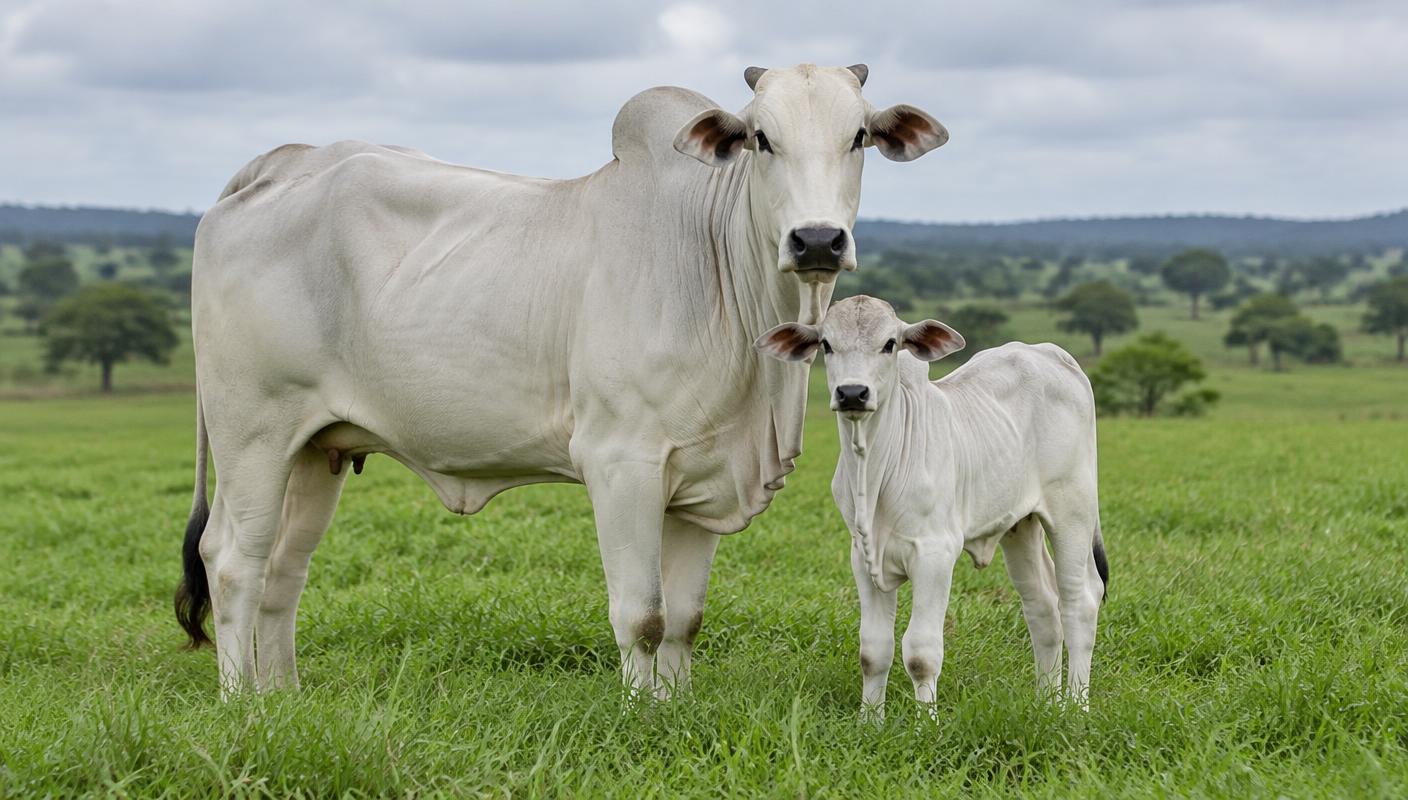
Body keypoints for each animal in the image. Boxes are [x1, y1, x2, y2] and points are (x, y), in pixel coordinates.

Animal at [174, 65, 949, 698]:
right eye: (762, 138)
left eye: (858, 136)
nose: (817, 240)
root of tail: (281, 165)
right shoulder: (620, 461)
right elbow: (642, 615)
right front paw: (641, 715)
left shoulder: (704, 481)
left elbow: (685, 618)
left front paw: (676, 708)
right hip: (254, 435)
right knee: (233, 561)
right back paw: (243, 705)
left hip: (318, 449)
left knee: (283, 571)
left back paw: (284, 698)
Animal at [755, 295, 1107, 715]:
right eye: (826, 345)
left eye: (890, 344)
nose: (852, 393)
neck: (872, 469)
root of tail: (1049, 352)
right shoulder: (863, 556)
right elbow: (873, 652)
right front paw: (870, 721)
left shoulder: (935, 554)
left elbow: (921, 654)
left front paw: (926, 723)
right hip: (1020, 525)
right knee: (1043, 607)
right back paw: (1046, 705)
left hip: (1073, 512)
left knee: (1079, 601)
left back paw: (1076, 707)